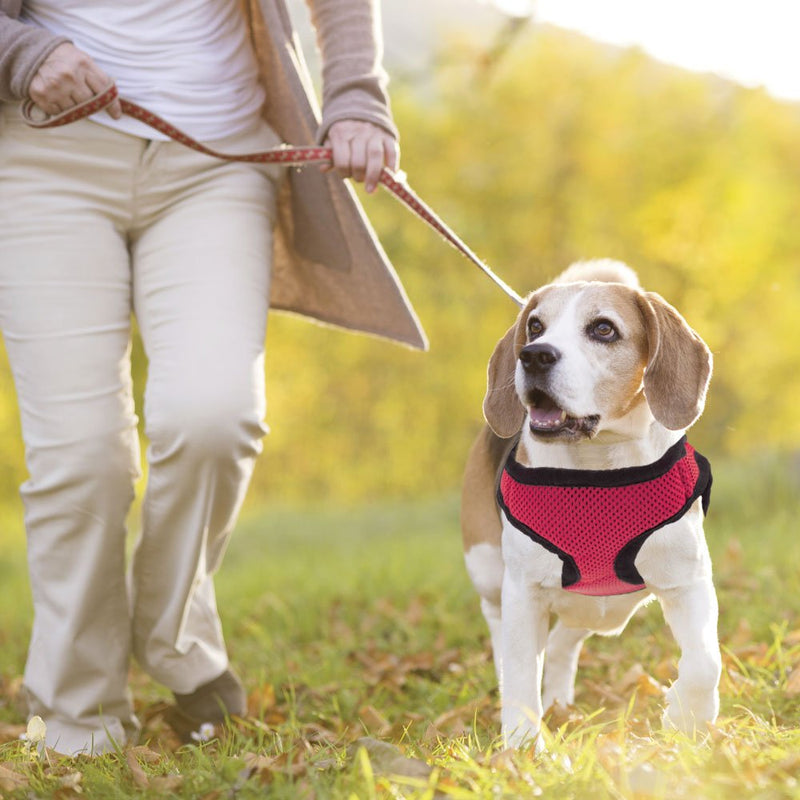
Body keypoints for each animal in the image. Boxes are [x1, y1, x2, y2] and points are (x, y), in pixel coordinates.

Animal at [460, 260, 720, 748]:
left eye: (603, 329)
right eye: (535, 326)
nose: (534, 355)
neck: (598, 465)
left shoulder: (688, 580)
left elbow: (705, 663)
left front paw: (686, 715)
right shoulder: (523, 590)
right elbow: (521, 673)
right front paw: (522, 746)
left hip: (605, 609)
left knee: (564, 641)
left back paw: (560, 701)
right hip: (488, 572)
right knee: (503, 636)